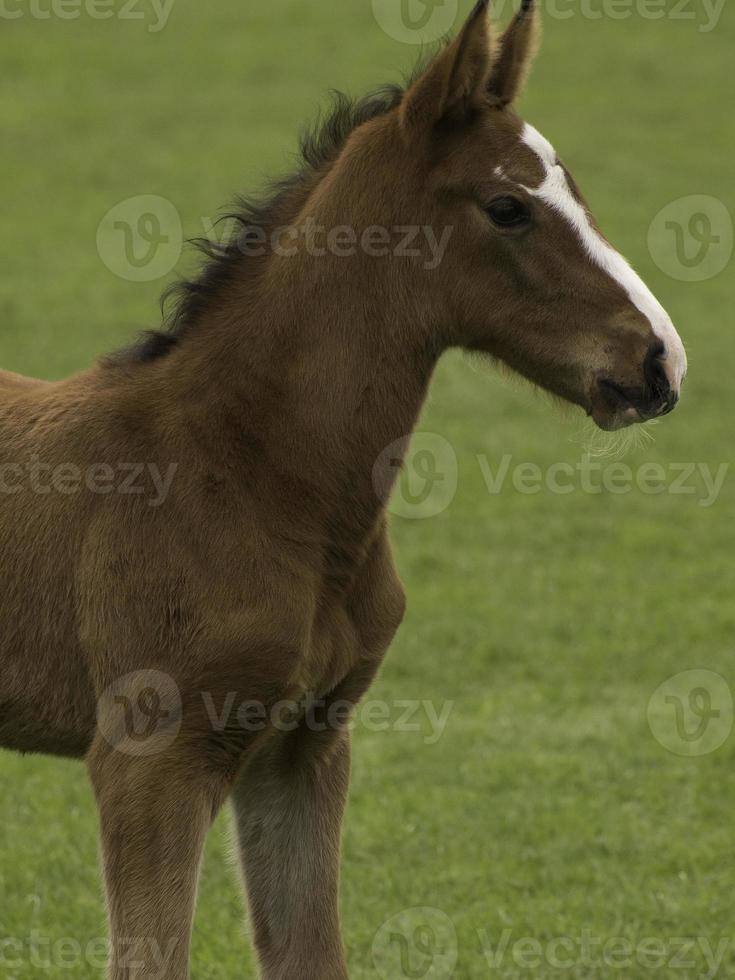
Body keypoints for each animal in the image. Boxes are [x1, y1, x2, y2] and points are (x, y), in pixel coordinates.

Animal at [1, 3, 684, 976]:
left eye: (575, 189)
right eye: (507, 207)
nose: (659, 361)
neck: (247, 476)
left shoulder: (303, 747)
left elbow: (310, 952)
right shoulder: (147, 755)